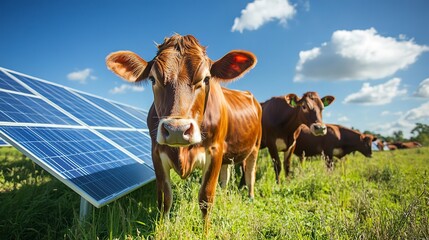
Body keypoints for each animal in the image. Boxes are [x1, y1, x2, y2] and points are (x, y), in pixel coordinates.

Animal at [105, 34, 262, 222]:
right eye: (153, 79)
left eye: (206, 79)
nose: (176, 130)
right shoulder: (156, 152)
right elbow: (165, 199)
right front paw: (163, 227)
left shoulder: (215, 151)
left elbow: (206, 199)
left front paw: (206, 229)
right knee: (226, 174)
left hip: (255, 147)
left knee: (251, 173)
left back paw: (251, 197)